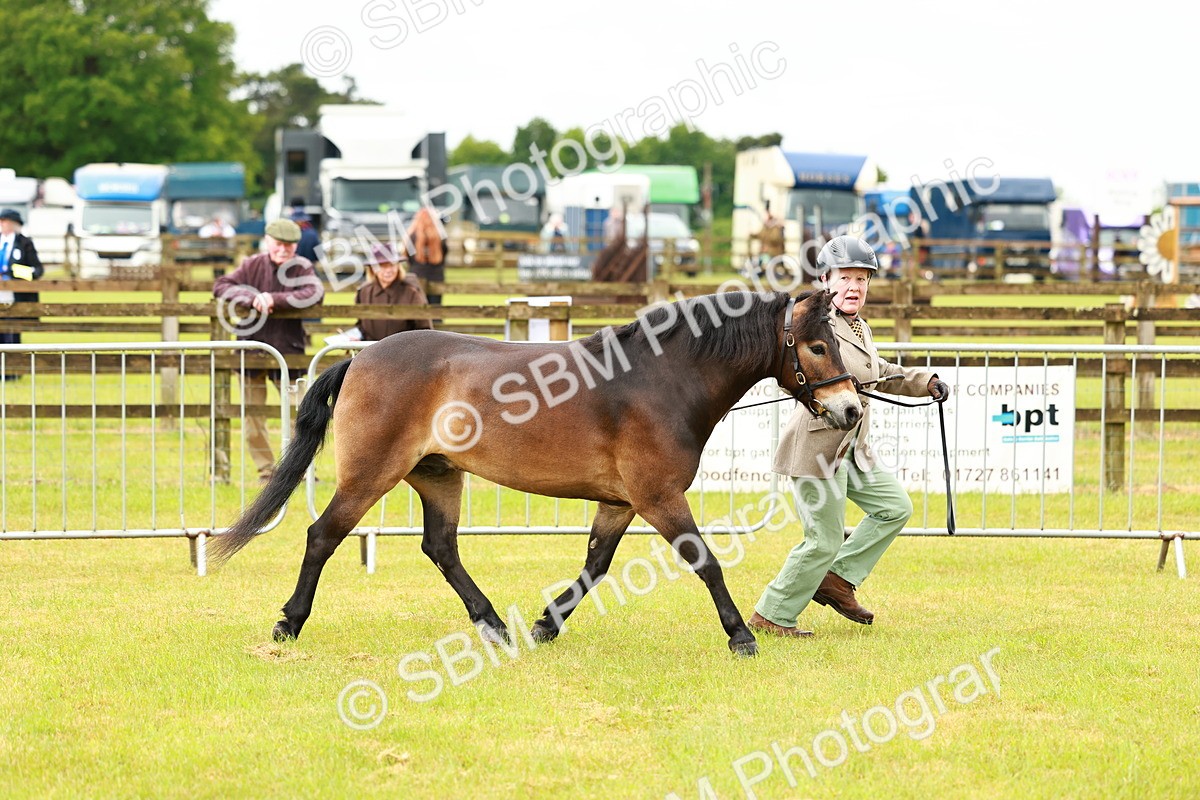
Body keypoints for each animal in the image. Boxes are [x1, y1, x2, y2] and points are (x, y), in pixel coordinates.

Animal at [211, 289, 861, 656]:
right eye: (818, 346)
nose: (852, 409)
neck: (661, 379)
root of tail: (360, 358)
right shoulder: (658, 496)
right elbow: (705, 562)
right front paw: (741, 636)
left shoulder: (622, 502)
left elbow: (596, 566)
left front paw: (547, 626)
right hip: (371, 475)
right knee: (323, 535)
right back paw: (289, 624)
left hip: (438, 476)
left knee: (440, 547)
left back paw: (496, 626)